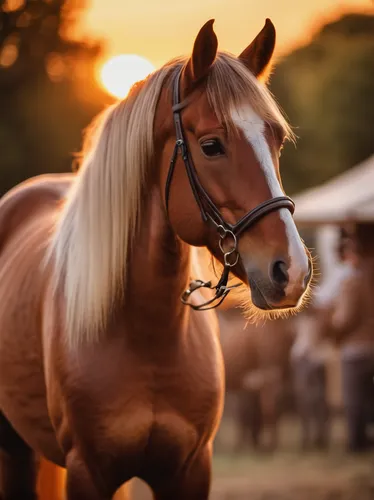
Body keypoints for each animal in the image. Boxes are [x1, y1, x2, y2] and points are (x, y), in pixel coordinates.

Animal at [0, 17, 312, 498]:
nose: (292, 271)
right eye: (211, 146)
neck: (147, 335)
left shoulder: (190, 470)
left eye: (275, 139)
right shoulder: (88, 471)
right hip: (16, 448)